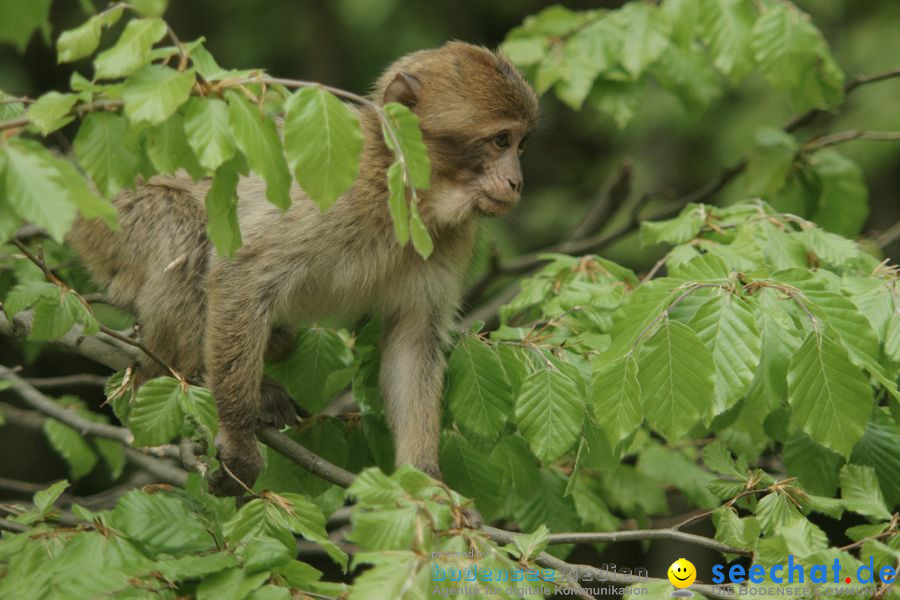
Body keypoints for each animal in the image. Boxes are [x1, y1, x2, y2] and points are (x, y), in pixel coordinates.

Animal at [70, 41, 536, 492]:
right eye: (500, 140)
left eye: (520, 145)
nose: (516, 181)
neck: (400, 188)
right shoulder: (333, 196)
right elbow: (241, 274)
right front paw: (238, 436)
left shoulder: (451, 239)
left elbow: (413, 338)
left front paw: (424, 482)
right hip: (115, 221)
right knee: (186, 238)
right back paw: (197, 378)